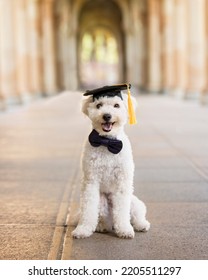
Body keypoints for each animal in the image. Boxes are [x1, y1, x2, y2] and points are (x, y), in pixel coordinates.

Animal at [71, 83, 150, 238]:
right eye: (99, 105)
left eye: (116, 105)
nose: (107, 115)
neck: (107, 143)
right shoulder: (91, 181)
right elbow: (88, 210)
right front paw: (83, 229)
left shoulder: (122, 181)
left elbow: (122, 210)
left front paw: (124, 229)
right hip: (101, 203)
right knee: (101, 218)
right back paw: (101, 227)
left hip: (134, 202)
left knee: (136, 215)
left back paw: (141, 225)